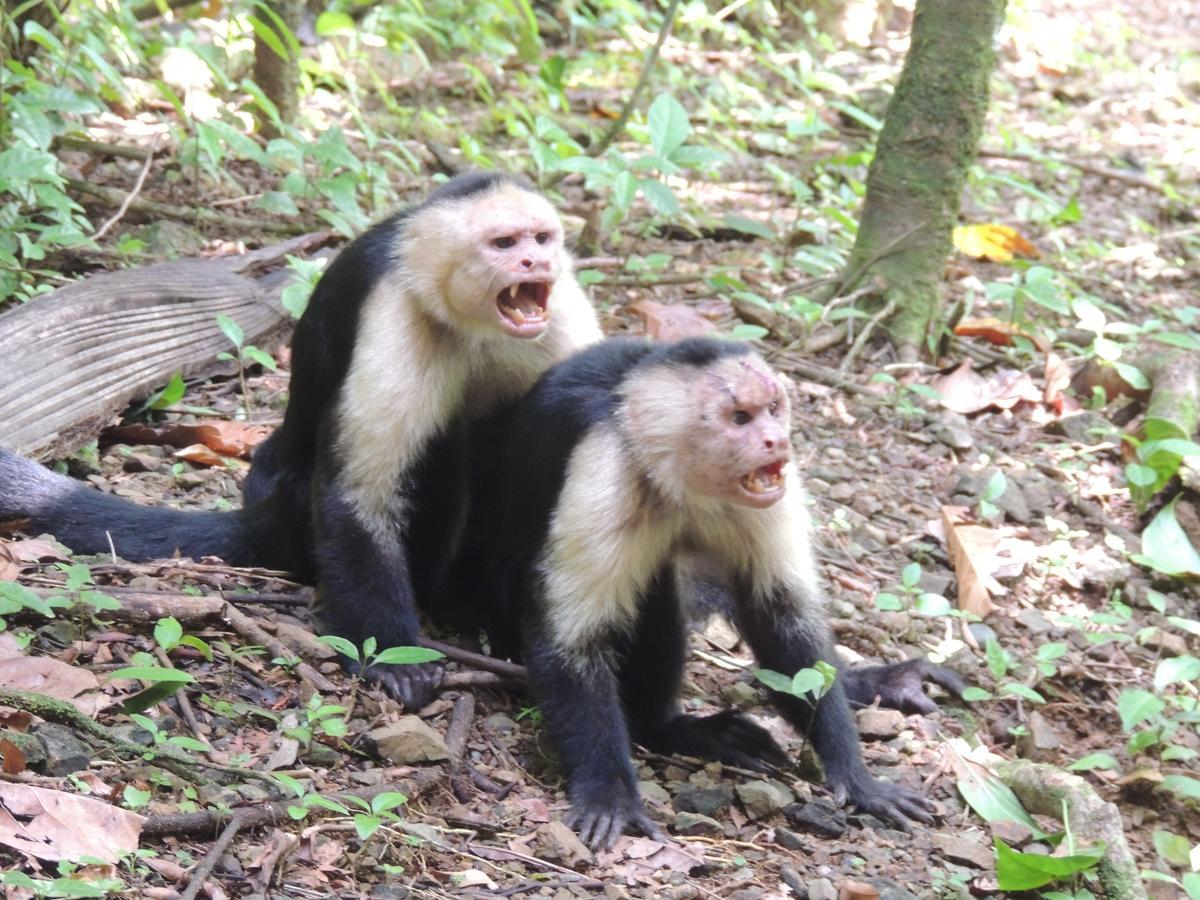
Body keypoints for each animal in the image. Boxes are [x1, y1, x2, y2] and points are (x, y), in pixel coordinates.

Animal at [0, 172, 600, 710]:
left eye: (542, 239)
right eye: (504, 243)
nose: (535, 263)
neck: (473, 324)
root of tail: (262, 513)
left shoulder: (561, 315)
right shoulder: (396, 310)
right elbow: (358, 494)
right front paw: (394, 657)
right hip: (290, 511)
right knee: (441, 446)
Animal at [477, 338, 964, 854]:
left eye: (773, 409)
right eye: (741, 418)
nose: (777, 441)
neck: (676, 484)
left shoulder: (769, 493)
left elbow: (782, 620)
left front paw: (856, 776)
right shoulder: (607, 474)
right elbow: (571, 640)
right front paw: (608, 792)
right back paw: (662, 727)